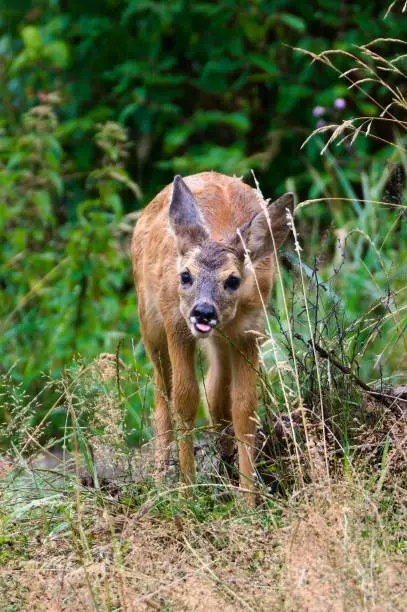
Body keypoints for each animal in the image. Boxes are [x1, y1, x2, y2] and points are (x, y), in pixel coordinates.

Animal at [132, 172, 294, 502]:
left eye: (232, 280)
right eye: (185, 275)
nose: (203, 312)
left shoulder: (249, 331)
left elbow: (244, 407)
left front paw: (247, 498)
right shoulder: (176, 324)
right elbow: (184, 399)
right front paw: (187, 492)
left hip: (220, 342)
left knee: (215, 392)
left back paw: (224, 471)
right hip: (150, 321)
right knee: (161, 393)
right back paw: (160, 477)